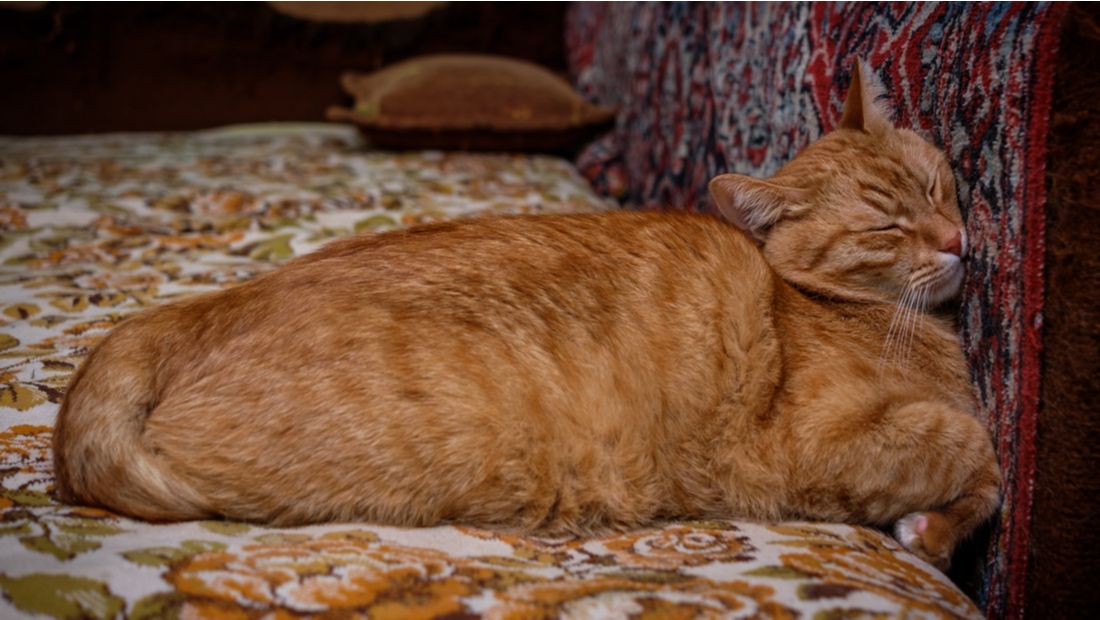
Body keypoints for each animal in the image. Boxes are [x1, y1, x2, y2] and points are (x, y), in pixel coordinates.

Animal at [51, 64, 998, 571]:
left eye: (934, 184)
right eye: (884, 225)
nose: (957, 240)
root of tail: (203, 305)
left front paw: (934, 528)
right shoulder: (819, 446)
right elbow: (976, 450)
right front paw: (934, 528)